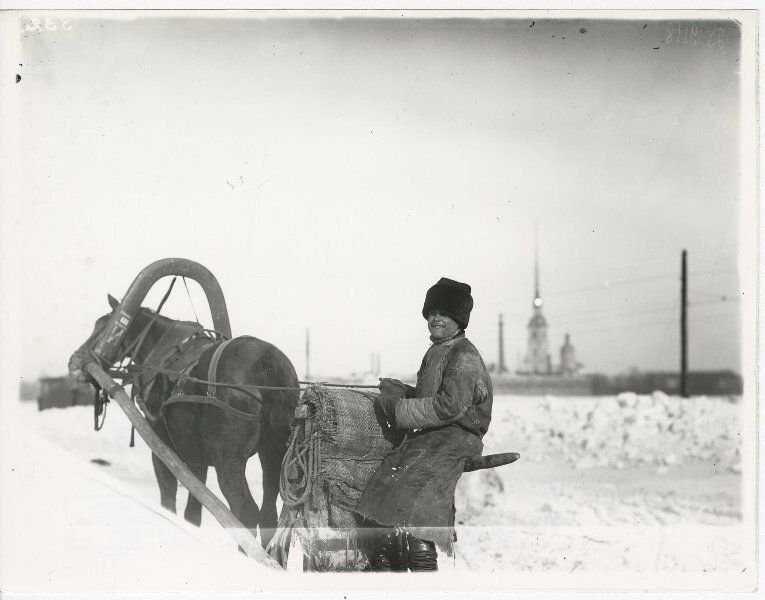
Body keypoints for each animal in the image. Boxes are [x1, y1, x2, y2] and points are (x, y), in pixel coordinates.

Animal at [68, 296, 300, 548]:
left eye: (103, 326)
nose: (74, 361)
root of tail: (268, 363)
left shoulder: (162, 448)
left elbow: (168, 499)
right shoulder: (196, 456)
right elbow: (193, 512)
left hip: (228, 460)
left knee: (246, 512)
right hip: (273, 453)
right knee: (270, 515)